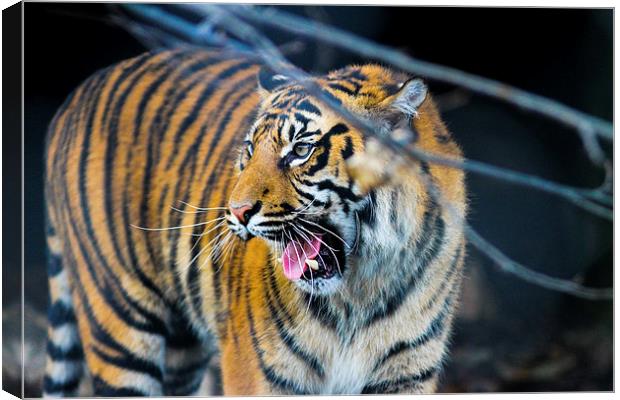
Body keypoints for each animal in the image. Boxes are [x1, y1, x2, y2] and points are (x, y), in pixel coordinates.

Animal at [43, 47, 468, 396]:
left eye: (301, 150)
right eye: (249, 149)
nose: (237, 211)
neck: (360, 291)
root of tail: (74, 98)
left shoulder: (406, 374)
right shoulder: (260, 374)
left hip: (181, 351)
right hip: (119, 325)